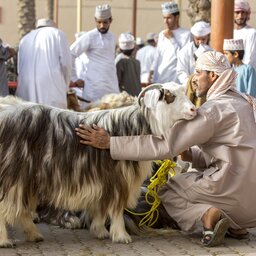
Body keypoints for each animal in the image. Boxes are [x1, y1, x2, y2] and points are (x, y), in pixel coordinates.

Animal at [0, 82, 197, 246]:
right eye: (171, 96)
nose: (194, 109)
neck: (131, 128)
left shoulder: (103, 180)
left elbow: (101, 206)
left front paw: (100, 231)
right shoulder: (118, 179)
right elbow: (116, 208)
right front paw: (121, 236)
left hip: (27, 177)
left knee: (22, 208)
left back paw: (34, 235)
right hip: (13, 174)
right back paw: (5, 241)